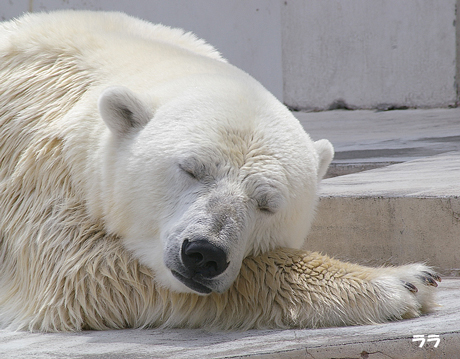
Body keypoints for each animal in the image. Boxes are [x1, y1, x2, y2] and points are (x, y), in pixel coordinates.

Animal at [0, 10, 438, 332]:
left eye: (267, 203)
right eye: (191, 169)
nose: (204, 254)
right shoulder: (44, 175)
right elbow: (85, 272)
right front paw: (404, 281)